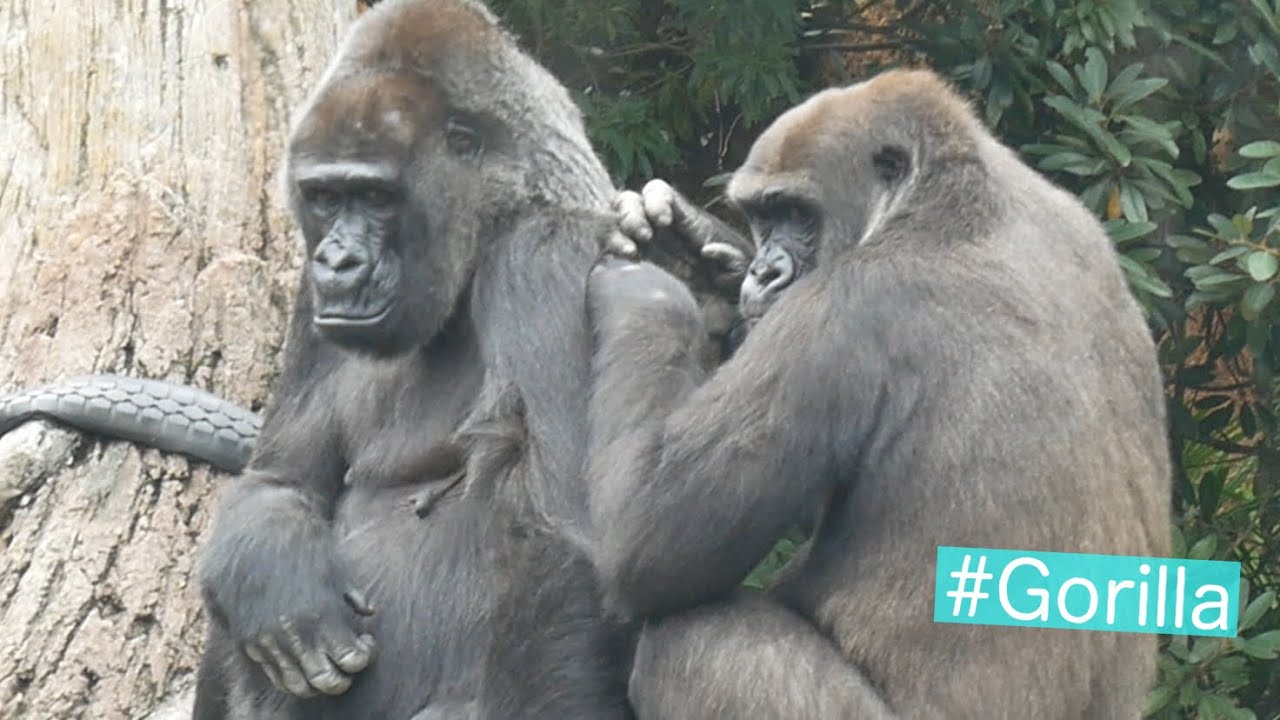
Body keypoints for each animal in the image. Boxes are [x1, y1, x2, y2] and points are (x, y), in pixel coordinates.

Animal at [585, 68, 1172, 719]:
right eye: (761, 217)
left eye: (797, 213)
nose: (764, 272)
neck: (949, 199)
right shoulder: (1089, 232)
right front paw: (701, 260)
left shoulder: (839, 309)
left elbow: (644, 543)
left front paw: (652, 295)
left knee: (692, 639)